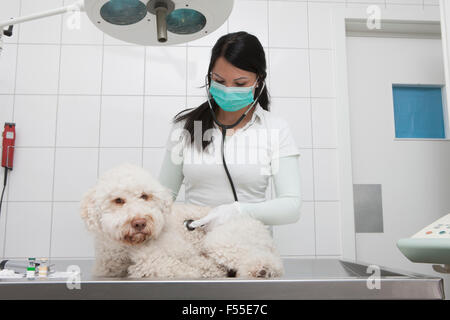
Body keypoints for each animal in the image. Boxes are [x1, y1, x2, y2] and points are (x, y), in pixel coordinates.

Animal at [80, 164, 284, 278]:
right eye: (118, 200)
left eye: (145, 196)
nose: (140, 222)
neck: (127, 249)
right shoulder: (106, 267)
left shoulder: (180, 254)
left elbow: (157, 265)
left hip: (220, 240)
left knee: (267, 260)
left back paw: (263, 269)